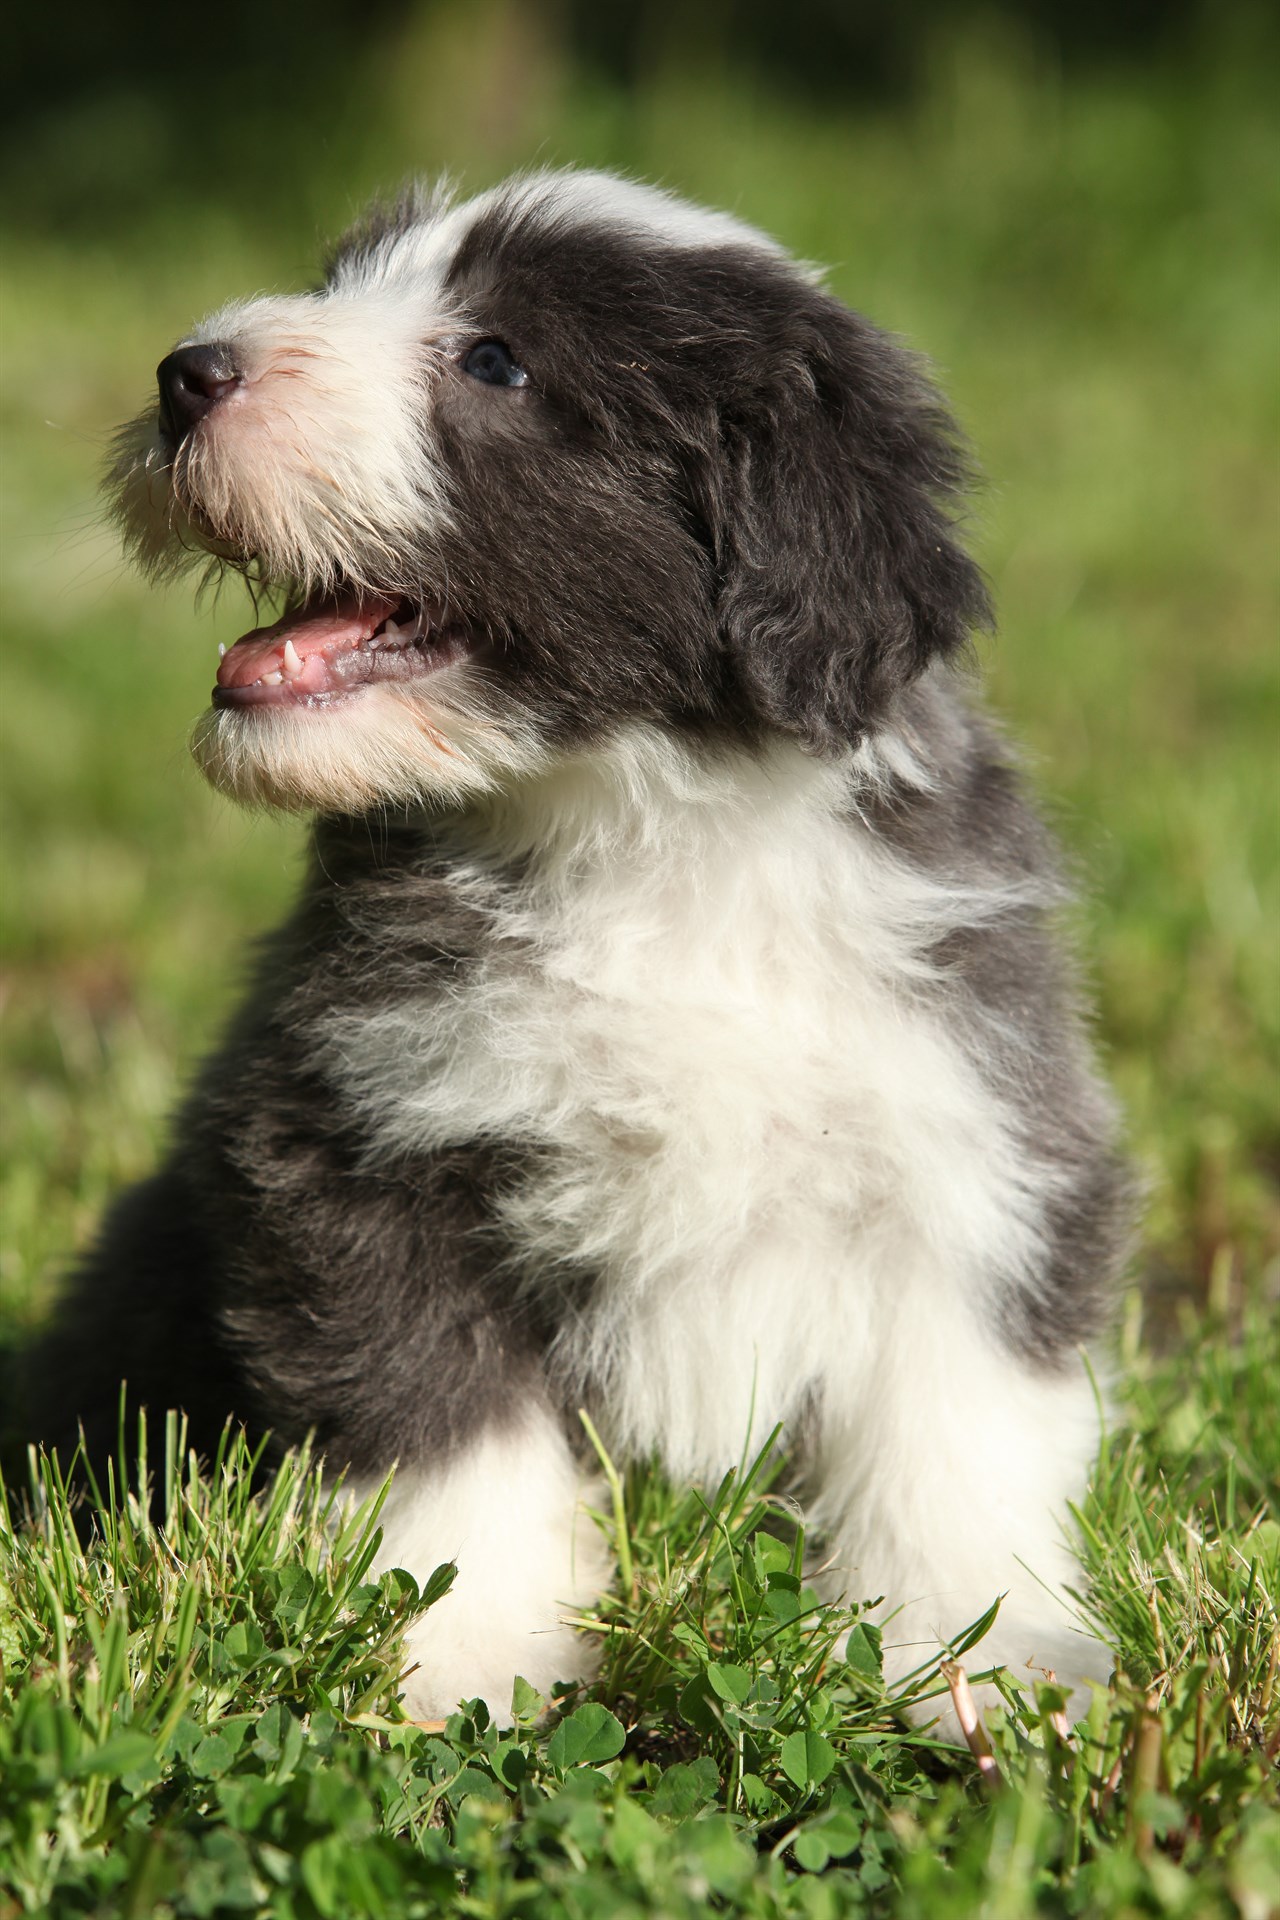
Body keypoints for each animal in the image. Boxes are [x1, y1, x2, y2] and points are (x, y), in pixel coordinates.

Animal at [32, 172, 1128, 1735]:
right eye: (346, 280)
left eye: (495, 361)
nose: (187, 371)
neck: (645, 845)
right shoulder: (360, 1142)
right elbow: (443, 1418)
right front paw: (466, 1661)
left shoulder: (980, 1129)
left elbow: (956, 1421)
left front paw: (985, 1658)